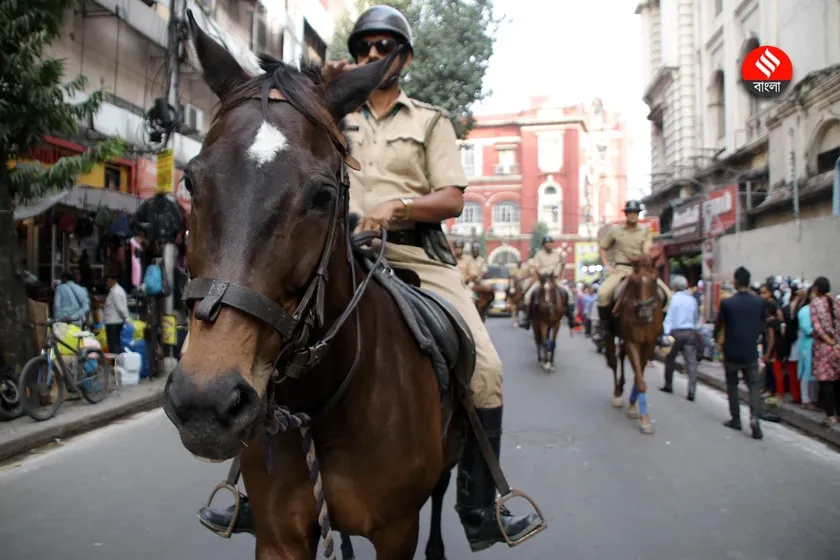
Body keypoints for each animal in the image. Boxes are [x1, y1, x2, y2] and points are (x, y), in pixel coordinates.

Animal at [162, 14, 466, 560]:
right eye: (192, 182)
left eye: (324, 195)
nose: (205, 401)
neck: (321, 402)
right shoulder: (277, 536)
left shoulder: (397, 533)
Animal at [608, 252, 668, 436]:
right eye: (634, 281)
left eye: (655, 279)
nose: (645, 313)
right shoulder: (632, 341)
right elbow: (640, 381)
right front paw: (645, 420)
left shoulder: (649, 344)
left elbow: (638, 375)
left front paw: (634, 407)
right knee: (614, 362)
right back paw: (617, 393)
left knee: (621, 356)